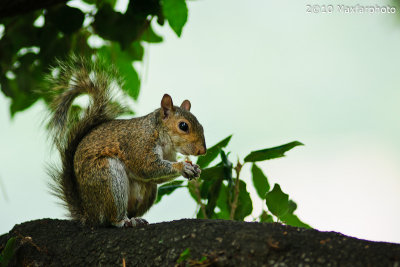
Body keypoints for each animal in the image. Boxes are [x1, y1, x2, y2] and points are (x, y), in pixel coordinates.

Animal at [47, 56, 206, 228]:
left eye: (201, 125)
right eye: (183, 126)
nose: (202, 151)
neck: (161, 136)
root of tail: (89, 215)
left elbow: (156, 176)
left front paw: (195, 168)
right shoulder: (139, 144)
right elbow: (147, 167)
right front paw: (182, 166)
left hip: (148, 191)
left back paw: (135, 218)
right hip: (108, 177)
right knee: (109, 218)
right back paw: (123, 221)